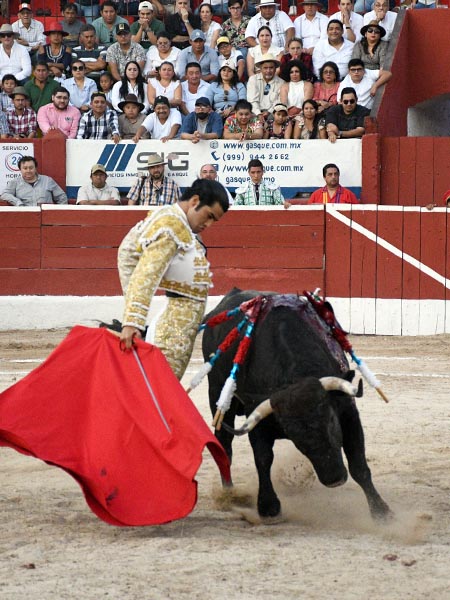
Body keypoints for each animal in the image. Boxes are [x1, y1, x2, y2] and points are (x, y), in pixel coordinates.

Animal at [202, 290, 392, 520]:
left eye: (331, 421)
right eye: (294, 436)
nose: (334, 479)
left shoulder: (348, 412)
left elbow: (358, 464)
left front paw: (381, 512)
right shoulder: (257, 418)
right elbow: (263, 459)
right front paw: (268, 507)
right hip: (217, 391)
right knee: (224, 443)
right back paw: (229, 494)